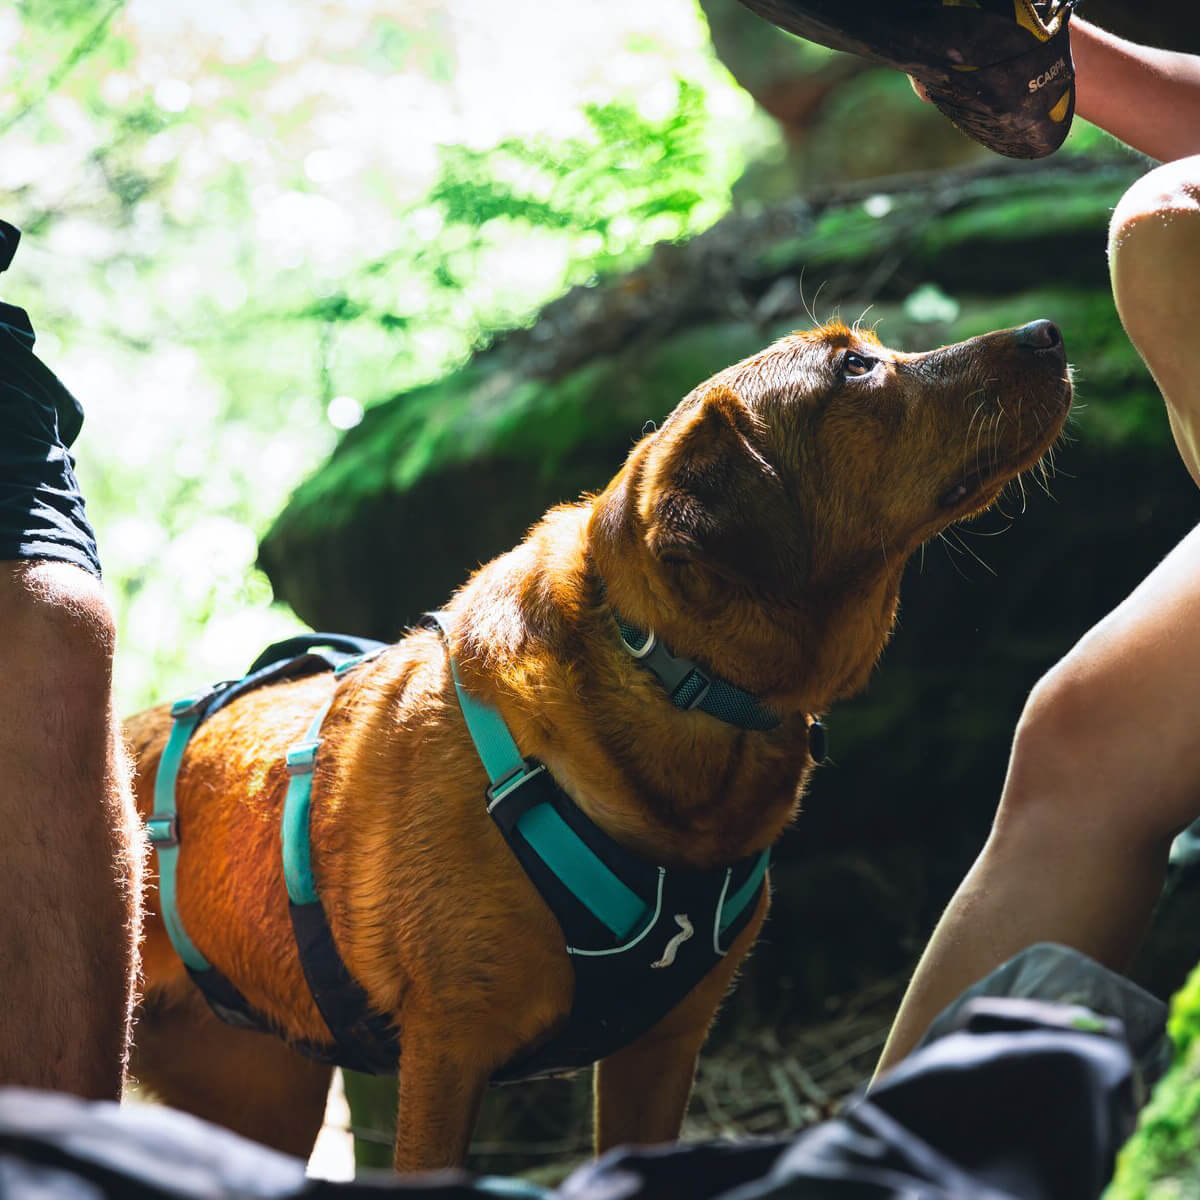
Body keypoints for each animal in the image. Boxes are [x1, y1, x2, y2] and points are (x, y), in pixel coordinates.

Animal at [126, 319, 1075, 1171]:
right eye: (855, 367)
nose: (1048, 331)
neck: (668, 675)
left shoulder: (661, 1049)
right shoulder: (444, 1054)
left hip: (256, 1091)